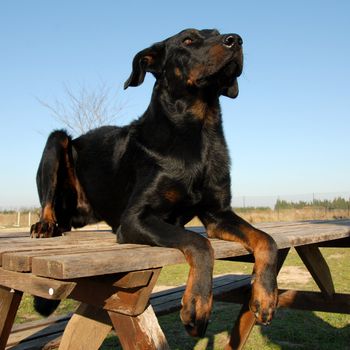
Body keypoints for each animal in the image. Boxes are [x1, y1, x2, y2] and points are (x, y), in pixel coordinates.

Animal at [31, 28, 278, 338]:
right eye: (188, 40)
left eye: (219, 33)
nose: (236, 39)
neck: (199, 131)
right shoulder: (135, 218)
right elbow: (198, 242)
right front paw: (198, 302)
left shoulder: (218, 214)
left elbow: (266, 239)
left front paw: (265, 296)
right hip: (57, 142)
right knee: (48, 197)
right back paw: (45, 225)